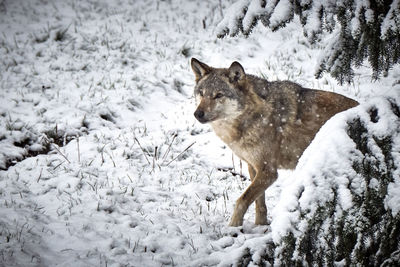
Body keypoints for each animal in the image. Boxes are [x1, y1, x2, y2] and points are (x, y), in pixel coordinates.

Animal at [191, 57, 360, 227]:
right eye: (202, 93)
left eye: (218, 95)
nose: (197, 114)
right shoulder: (253, 167)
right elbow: (259, 203)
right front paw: (260, 226)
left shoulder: (269, 171)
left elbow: (241, 201)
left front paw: (233, 227)